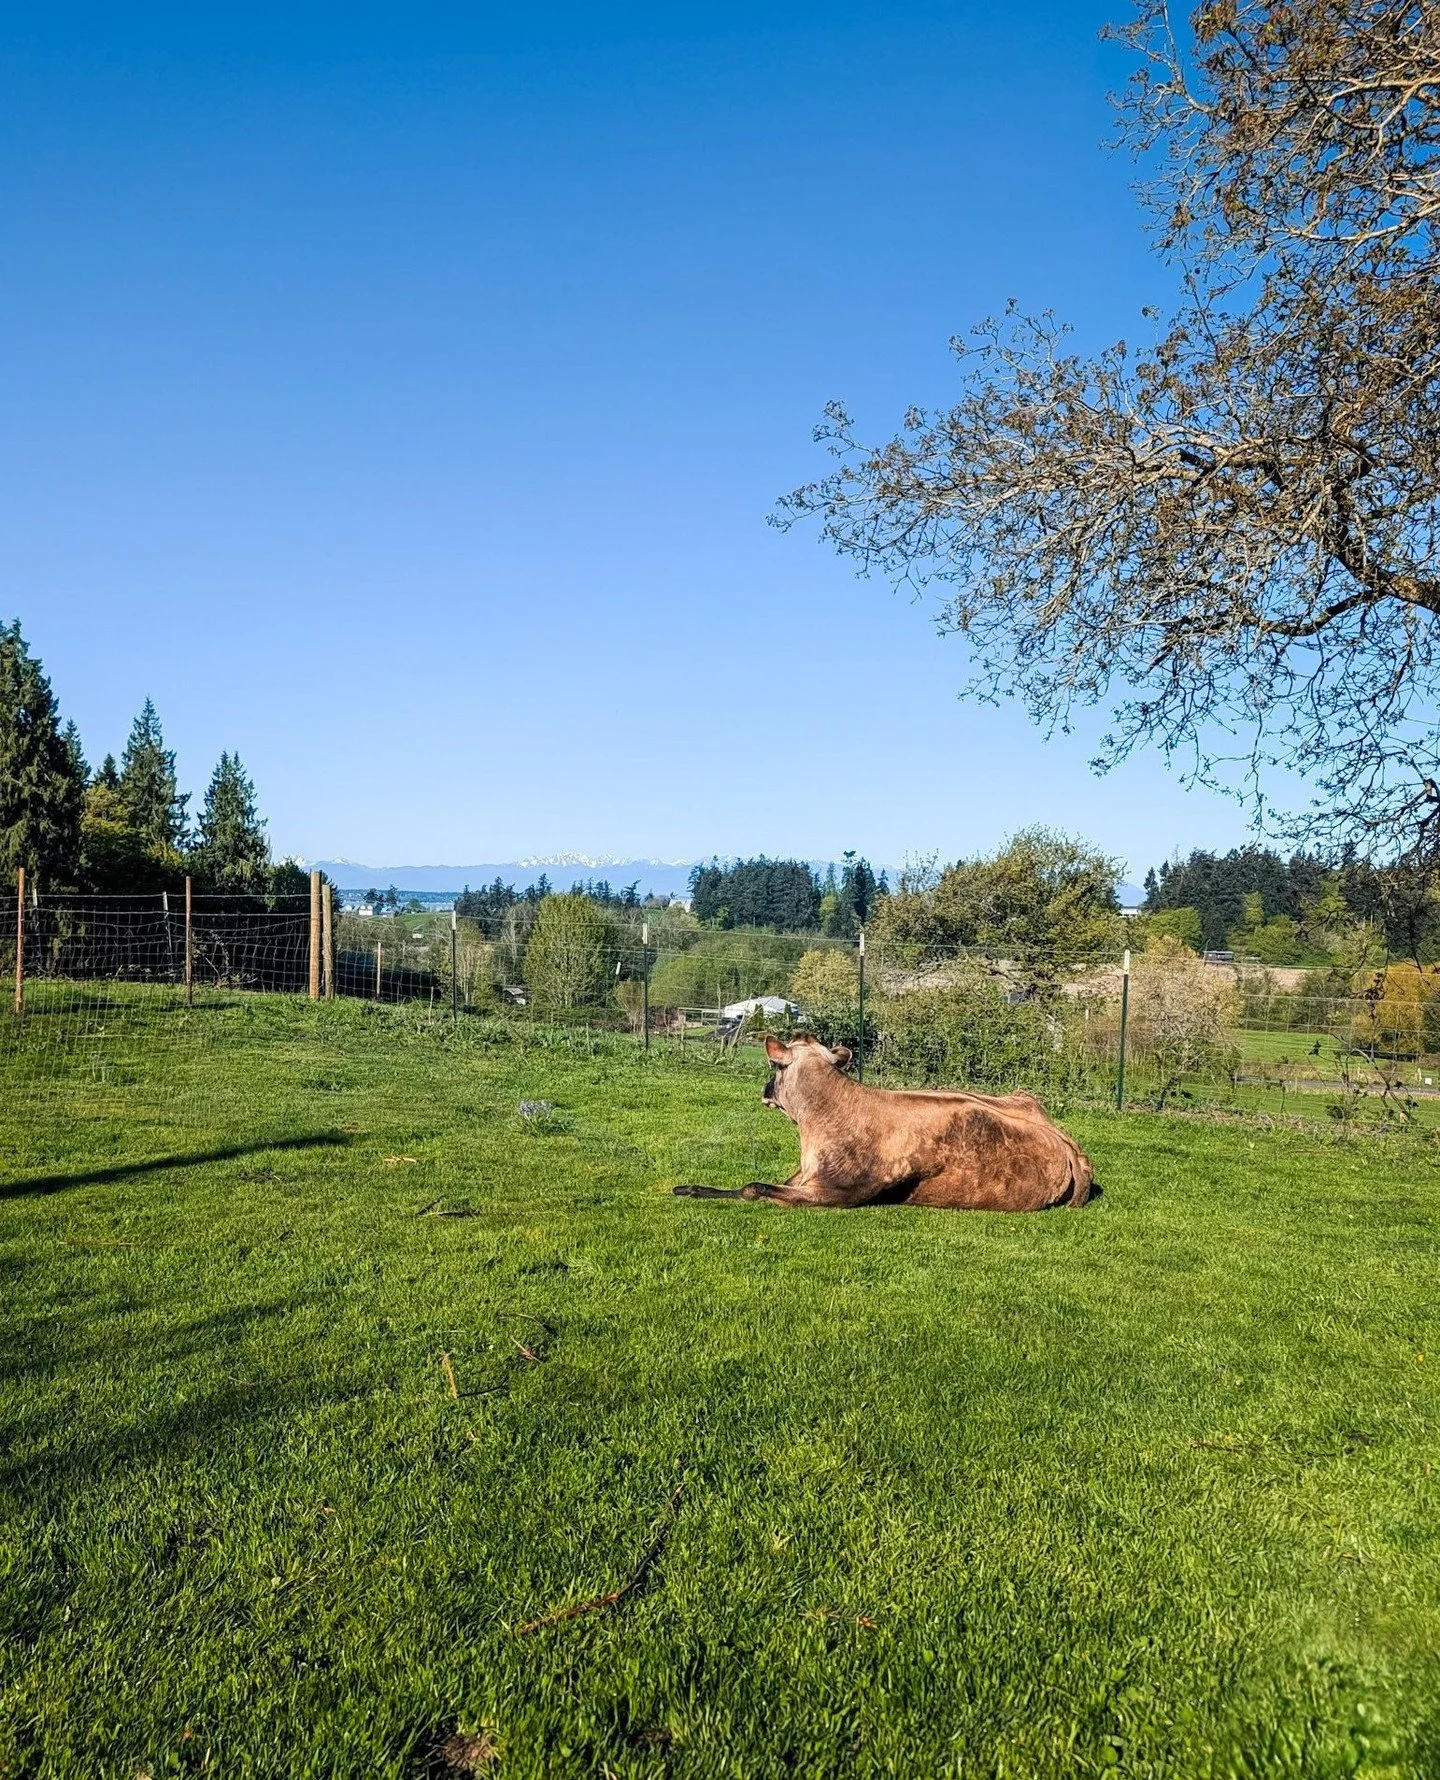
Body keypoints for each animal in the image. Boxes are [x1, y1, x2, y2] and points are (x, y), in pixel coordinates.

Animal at [673, 1033, 1094, 1212]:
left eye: (775, 1066)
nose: (764, 1089)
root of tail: (1067, 1142)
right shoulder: (804, 1175)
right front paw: (690, 1187)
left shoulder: (838, 1191)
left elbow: (755, 1188)